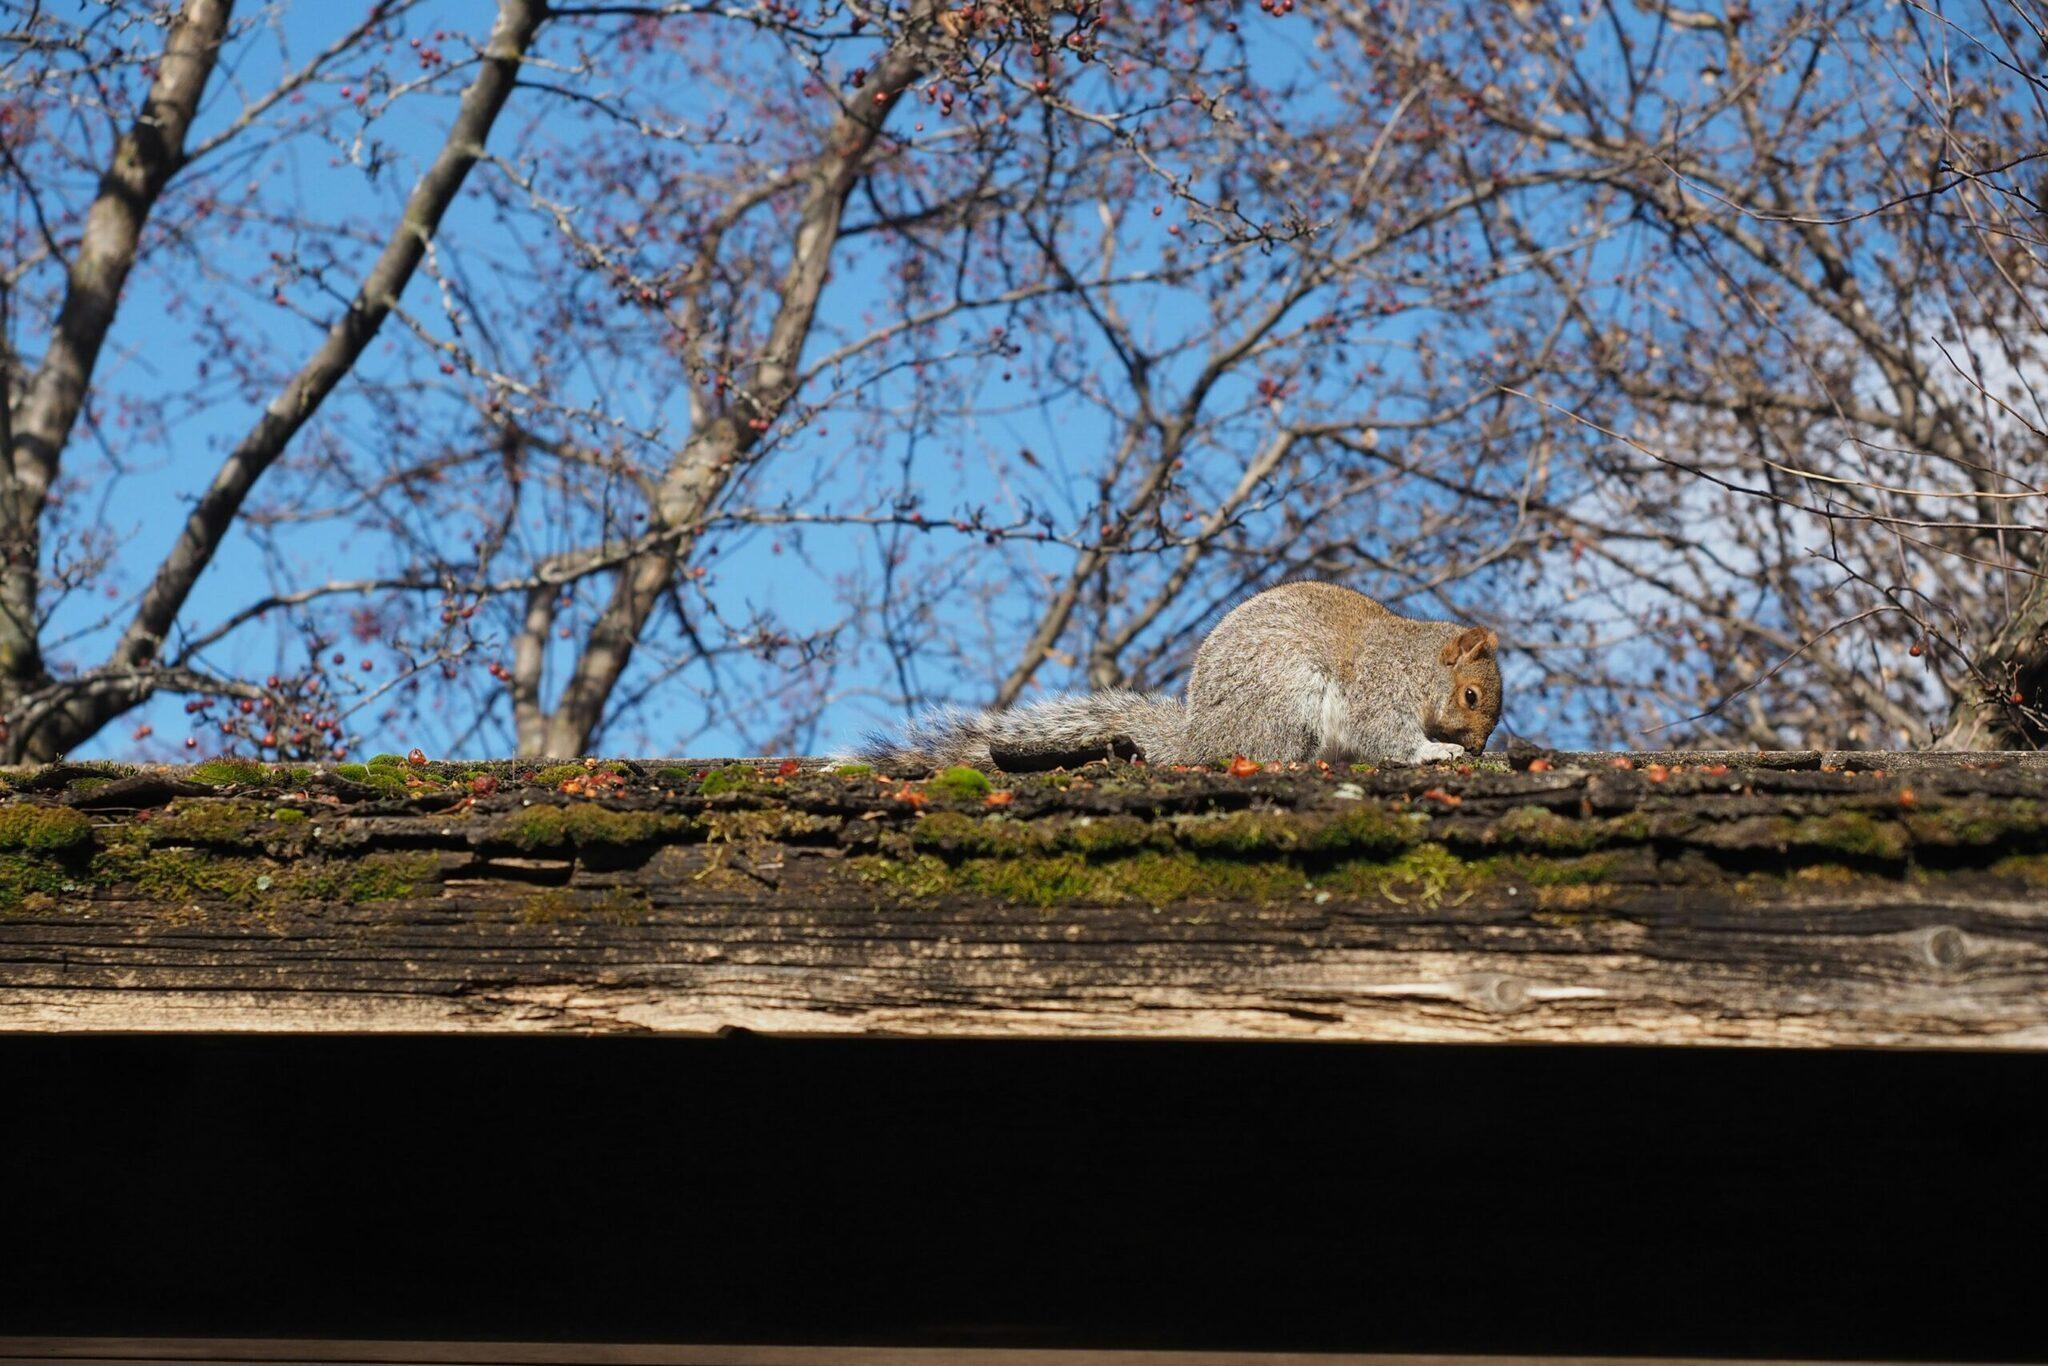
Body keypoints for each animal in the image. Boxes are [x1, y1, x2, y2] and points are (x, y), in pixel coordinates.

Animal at [855, 580, 1501, 772]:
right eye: (1471, 696)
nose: (1476, 748)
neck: (1417, 663)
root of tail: (1199, 739)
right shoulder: (1378, 688)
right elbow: (1384, 735)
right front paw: (1435, 751)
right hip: (1286, 704)